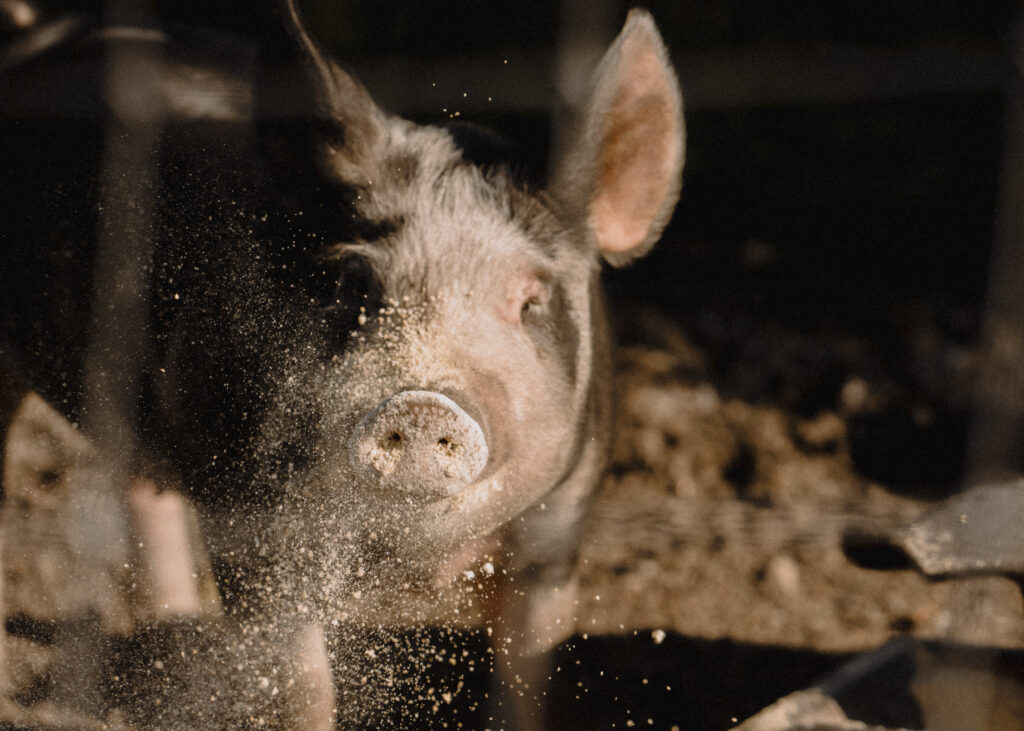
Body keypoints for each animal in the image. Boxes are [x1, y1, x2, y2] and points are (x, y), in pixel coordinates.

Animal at [0, 0, 684, 727]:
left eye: (529, 301)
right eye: (353, 282)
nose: (422, 402)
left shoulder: (560, 529)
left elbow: (527, 673)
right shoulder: (254, 520)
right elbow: (301, 682)